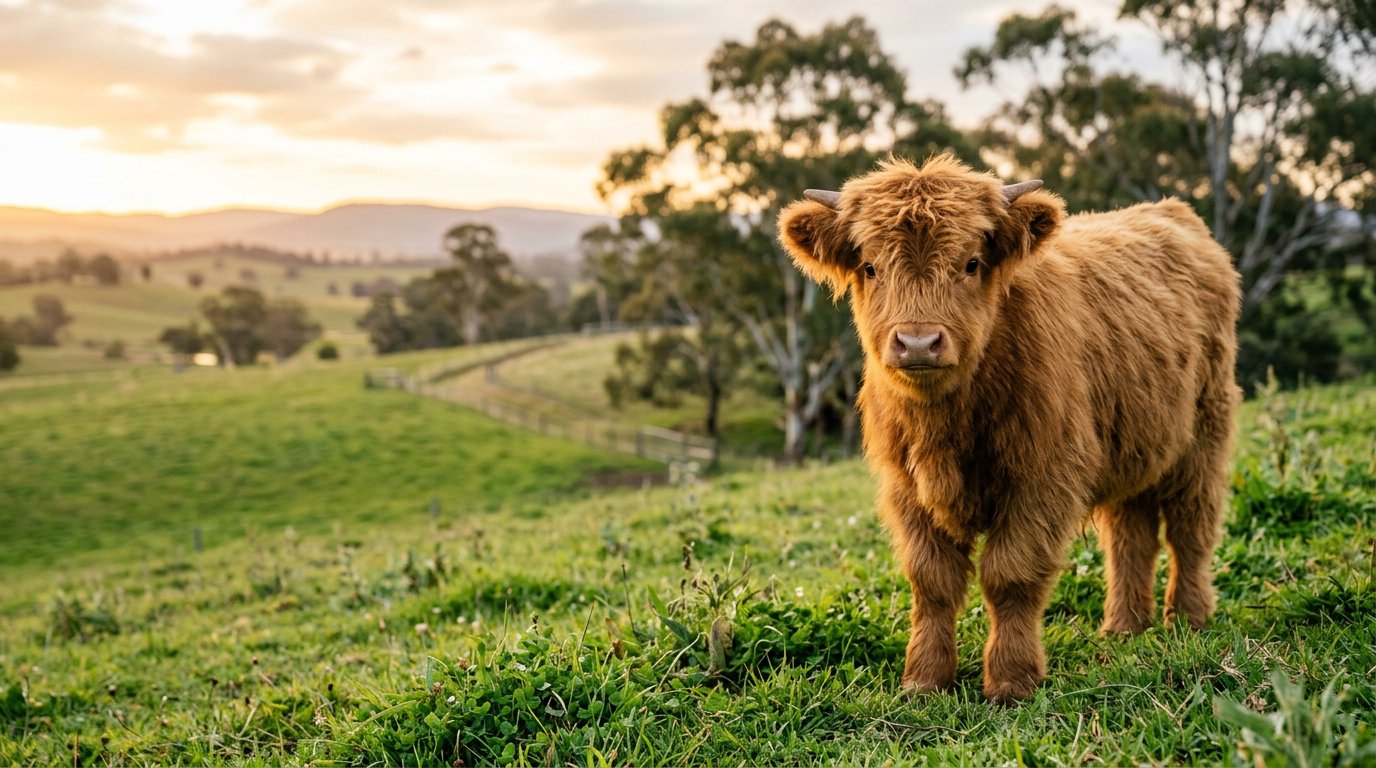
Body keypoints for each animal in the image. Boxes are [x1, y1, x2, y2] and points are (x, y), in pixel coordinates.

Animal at [777, 154, 1240, 702]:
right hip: (1137, 445)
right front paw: (924, 679)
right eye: (870, 266)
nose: (918, 343)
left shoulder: (1044, 477)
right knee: (1132, 537)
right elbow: (931, 581)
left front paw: (1011, 680)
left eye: (971, 263)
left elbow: (1010, 574)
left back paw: (1188, 619)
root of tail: (1171, 213)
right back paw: (1125, 628)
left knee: (1191, 528)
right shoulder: (905, 487)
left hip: (1205, 432)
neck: (947, 426)